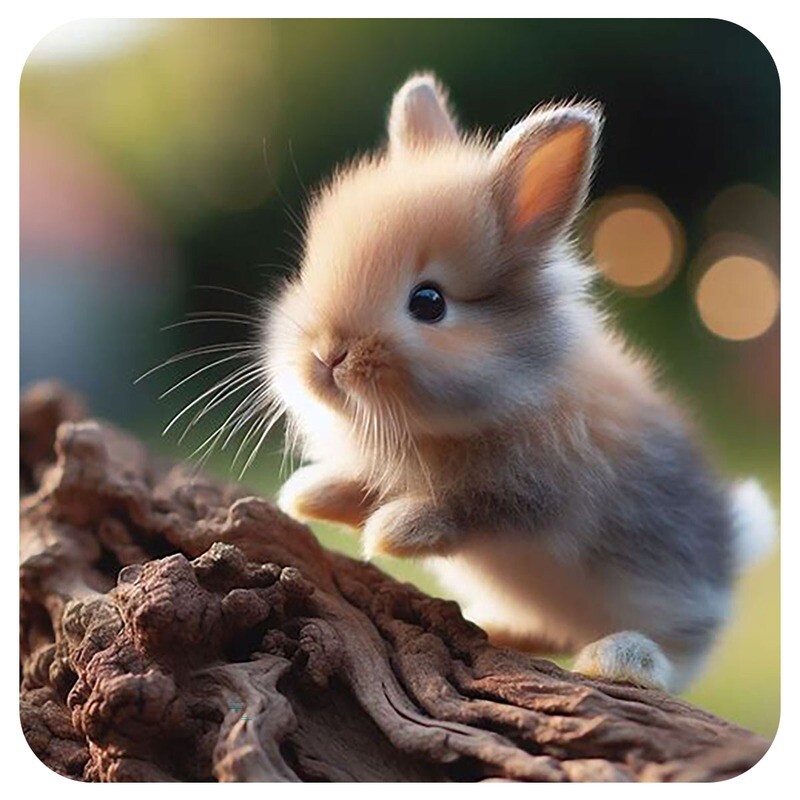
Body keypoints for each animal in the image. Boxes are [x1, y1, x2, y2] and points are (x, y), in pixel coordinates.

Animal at [264, 73, 776, 692]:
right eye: (308, 270)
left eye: (428, 302)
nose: (325, 356)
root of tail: (733, 551)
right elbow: (361, 486)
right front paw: (309, 495)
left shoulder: (539, 492)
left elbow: (473, 508)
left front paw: (396, 529)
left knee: (678, 660)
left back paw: (622, 658)